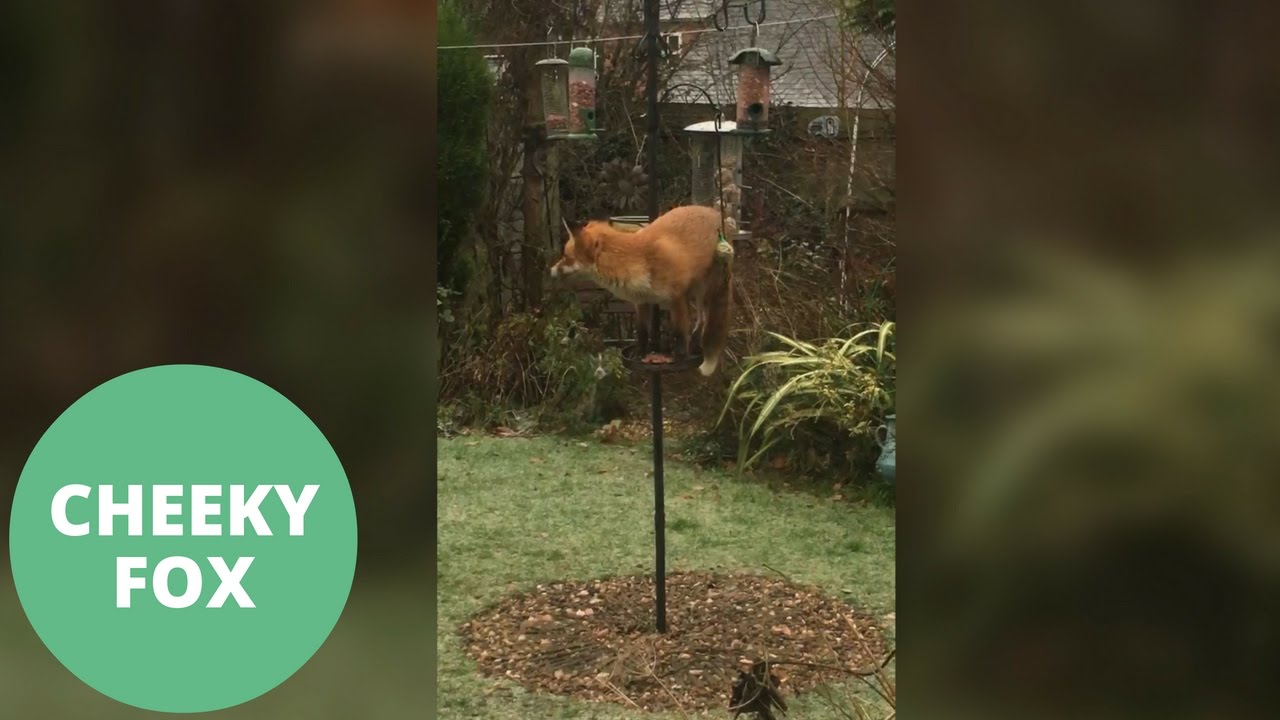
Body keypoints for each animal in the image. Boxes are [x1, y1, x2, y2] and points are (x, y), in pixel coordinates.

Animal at [550, 205, 734, 376]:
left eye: (566, 256)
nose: (551, 271)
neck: (639, 259)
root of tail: (717, 214)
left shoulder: (677, 297)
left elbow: (680, 332)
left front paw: (679, 357)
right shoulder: (641, 301)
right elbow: (642, 332)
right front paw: (640, 352)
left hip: (704, 289)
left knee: (703, 319)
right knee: (701, 320)